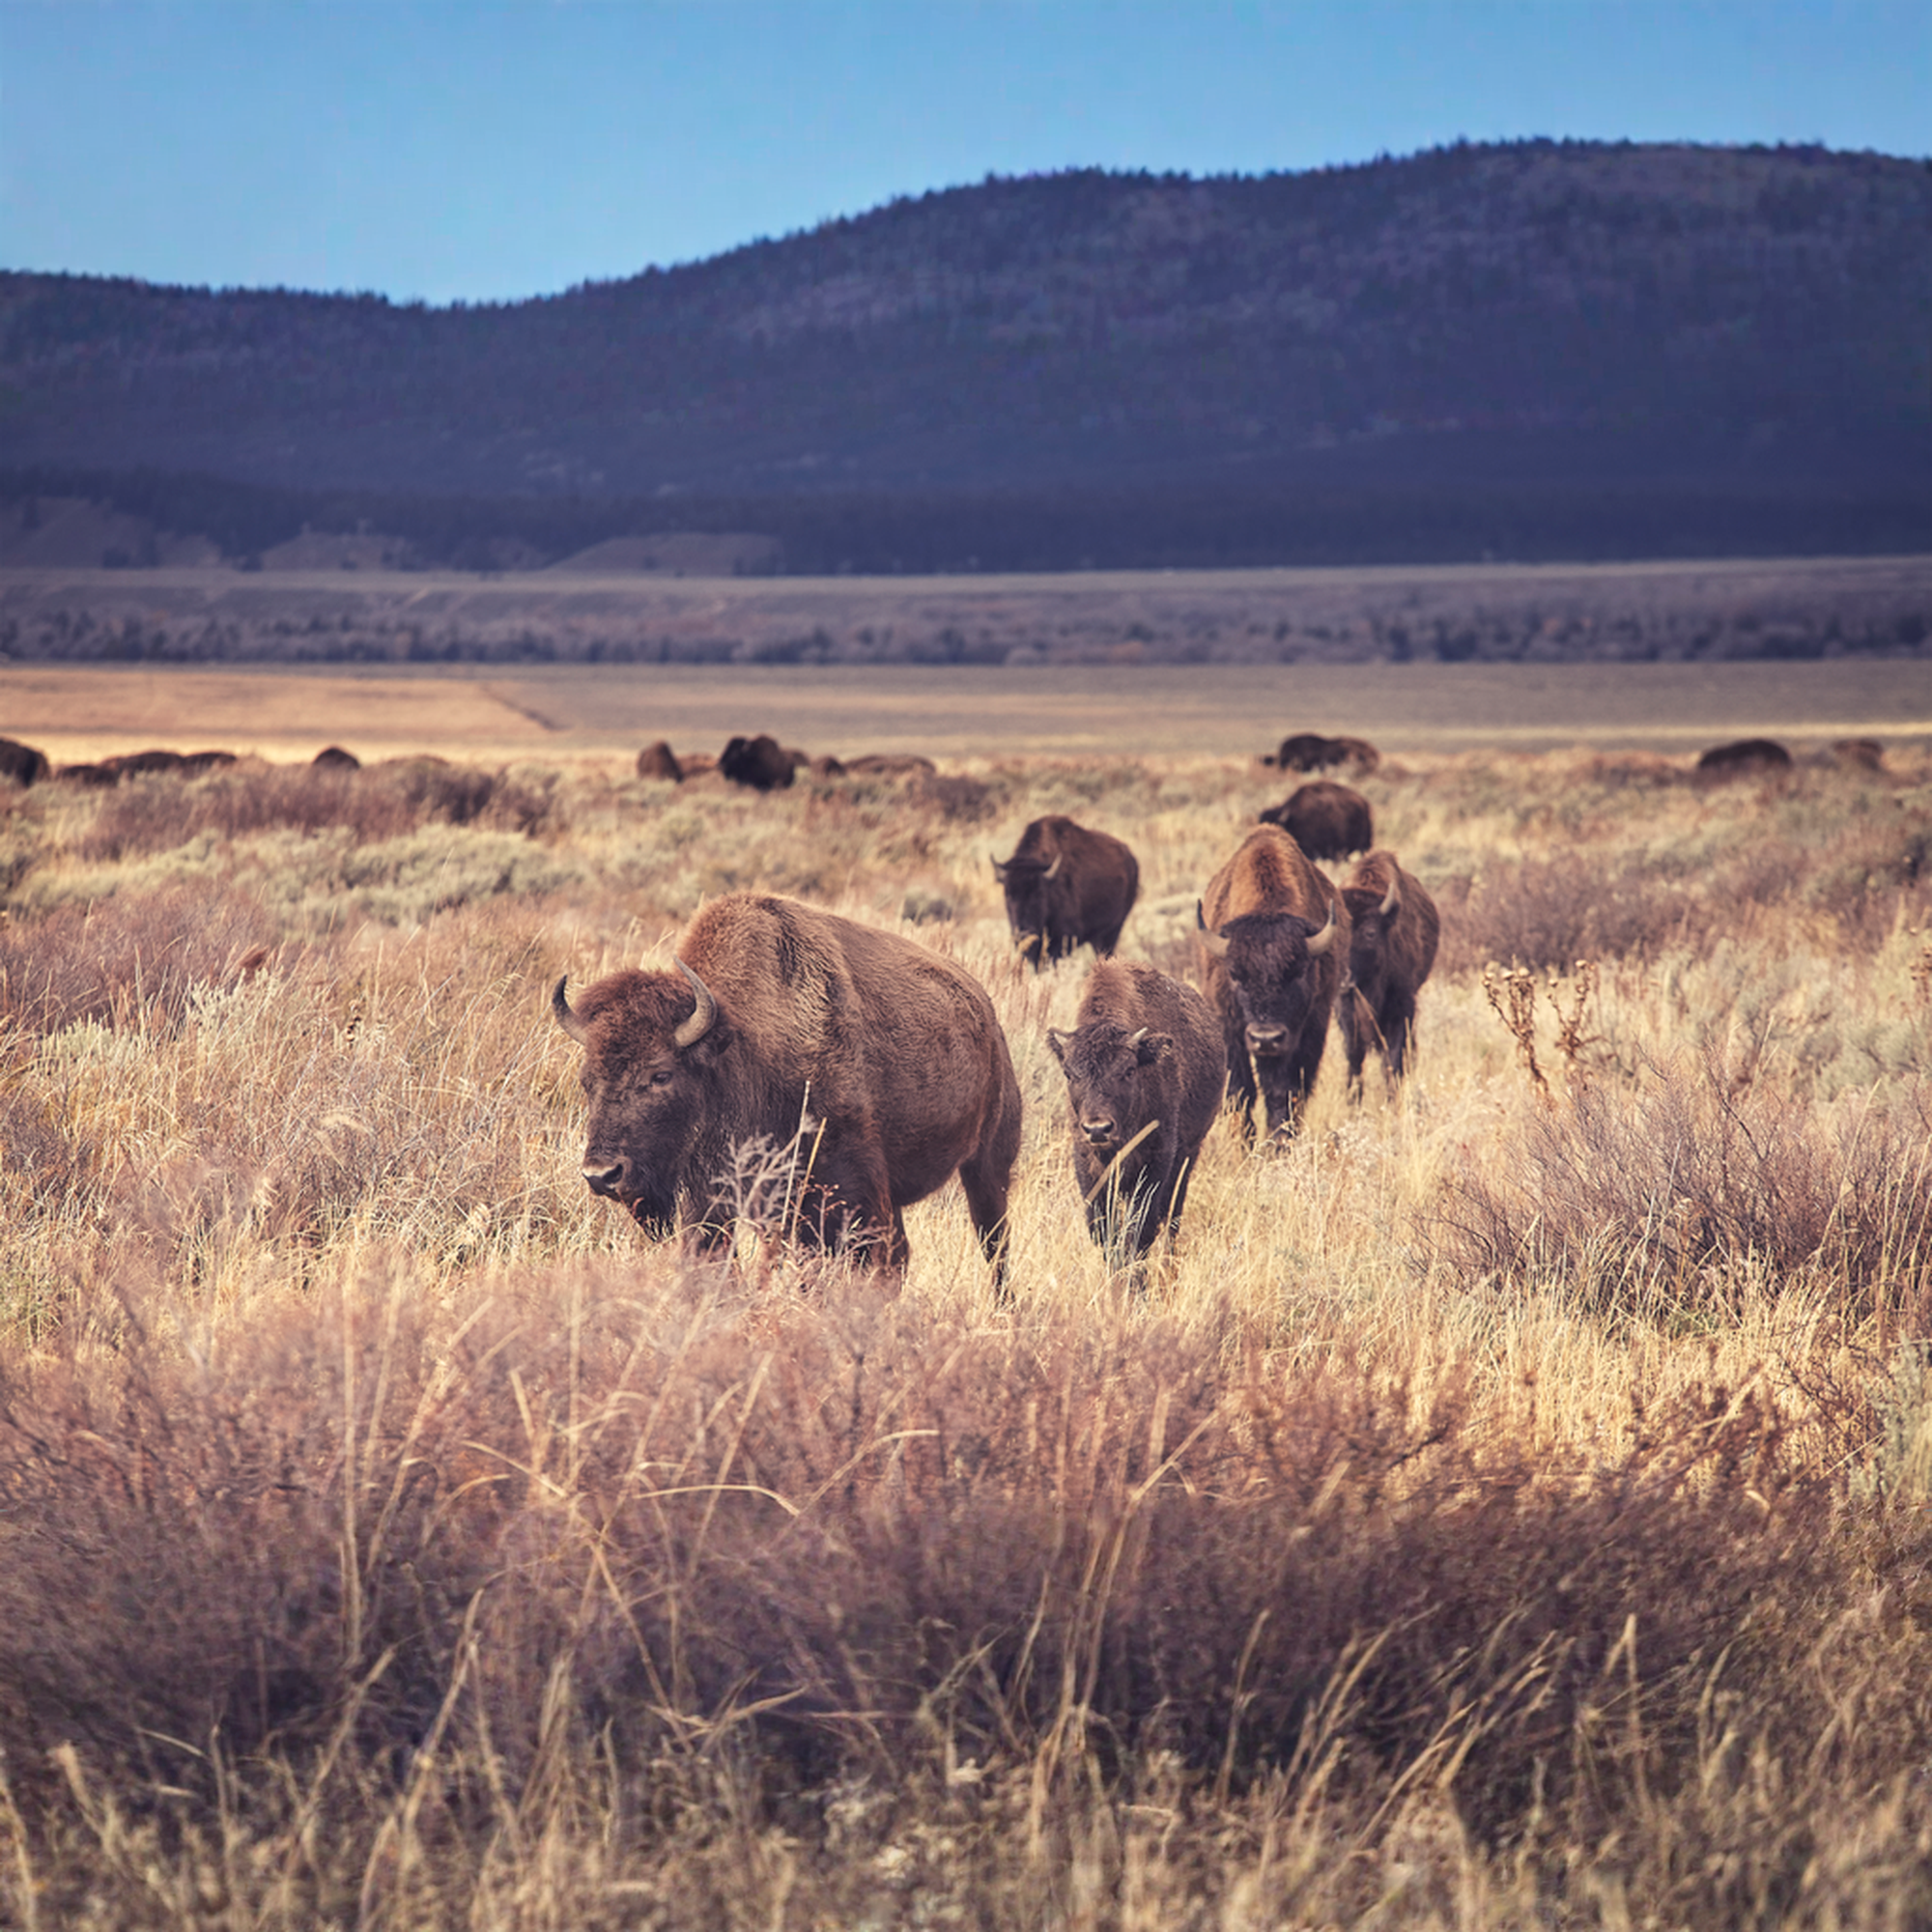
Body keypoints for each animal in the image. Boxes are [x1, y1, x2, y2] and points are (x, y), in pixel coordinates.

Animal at [552, 892, 1022, 1283]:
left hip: (988, 1166)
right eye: (586, 1081)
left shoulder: (846, 1193)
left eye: (661, 1075)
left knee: (994, 1247)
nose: (601, 1174)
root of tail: (986, 1011)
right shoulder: (710, 1200)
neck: (743, 1046)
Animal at [992, 816, 1139, 970]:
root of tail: (1131, 859)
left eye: (1040, 894)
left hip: (1112, 930)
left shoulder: (1063, 938)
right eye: (1008, 895)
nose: (1024, 933)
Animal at [1049, 961, 1226, 1262]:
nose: (1098, 1129)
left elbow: (1140, 1230)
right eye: (1069, 1074)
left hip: (1189, 1153)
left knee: (1172, 1215)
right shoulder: (1088, 1165)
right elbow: (1105, 1231)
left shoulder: (1156, 1162)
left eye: (1129, 1070)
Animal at [1197, 825, 1349, 1142]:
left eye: (1298, 972)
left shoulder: (1309, 1029)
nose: (1265, 1038)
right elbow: (1240, 1092)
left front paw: (1278, 1144)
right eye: (1235, 974)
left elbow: (1285, 1092)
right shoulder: (1230, 1028)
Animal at [1336, 850, 1441, 1099]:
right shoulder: (1347, 1012)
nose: (1342, 978)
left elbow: (1393, 1060)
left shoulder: (1402, 1009)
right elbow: (1354, 1058)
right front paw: (1353, 1099)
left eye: (1370, 933)